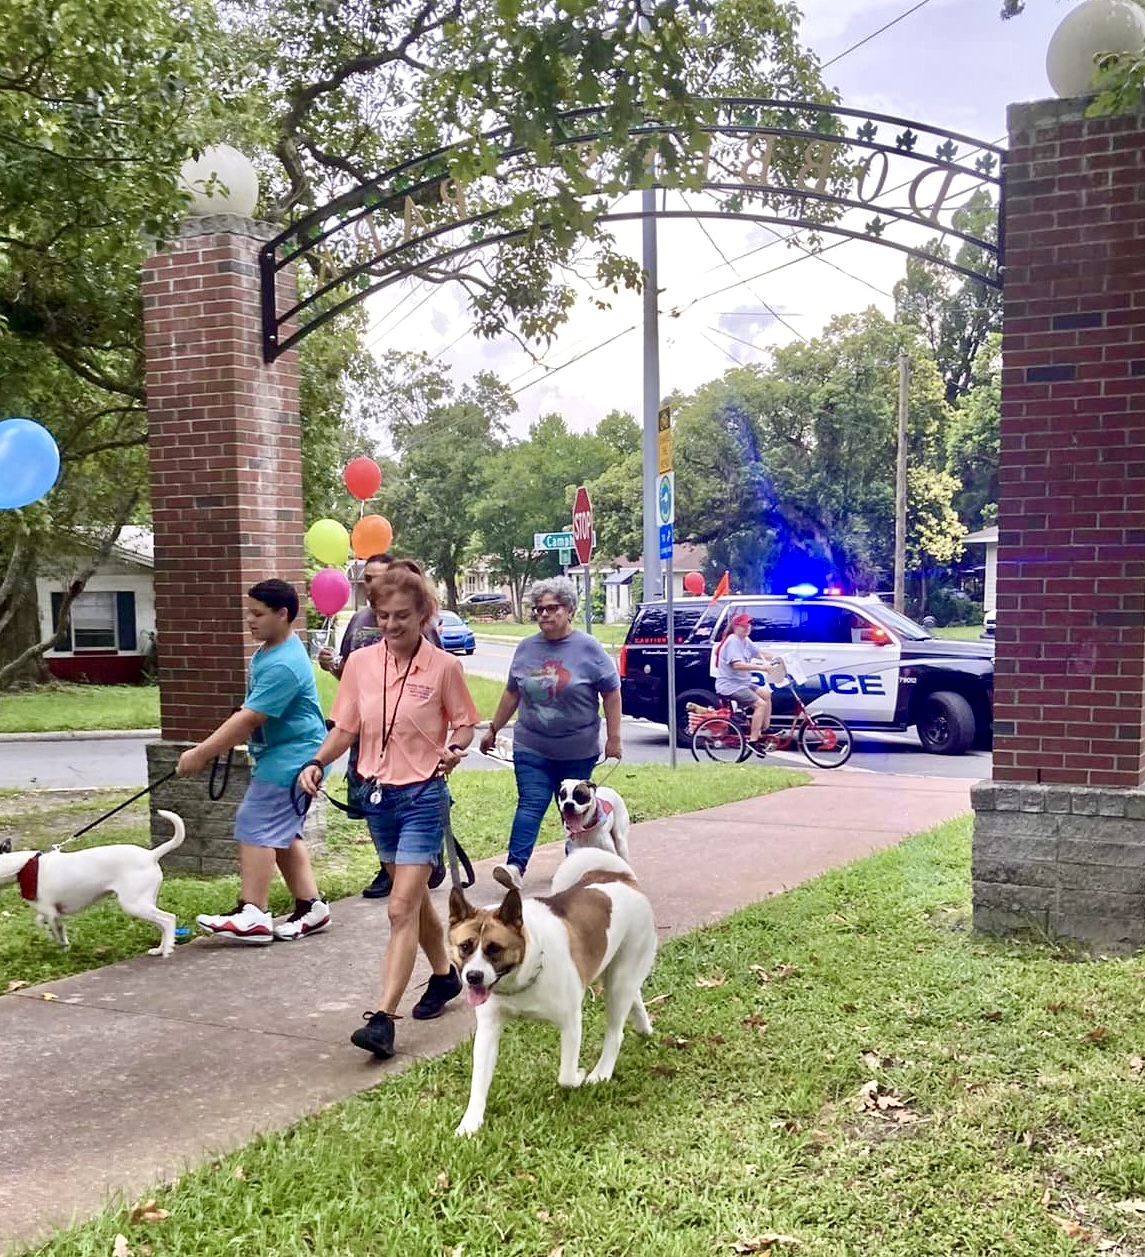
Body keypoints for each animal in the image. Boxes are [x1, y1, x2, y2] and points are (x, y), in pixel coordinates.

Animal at [0, 809, 186, 955]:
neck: (24, 866)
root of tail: (151, 855)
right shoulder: (54, 913)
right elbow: (46, 924)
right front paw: (63, 946)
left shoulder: (51, 913)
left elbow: (55, 932)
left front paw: (61, 947)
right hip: (145, 903)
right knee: (161, 924)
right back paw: (160, 949)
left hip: (134, 905)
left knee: (168, 919)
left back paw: (167, 950)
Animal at [452, 849, 658, 1136]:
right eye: (465, 947)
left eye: (494, 949)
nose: (473, 977)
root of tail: (621, 878)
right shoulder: (489, 1028)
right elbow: (479, 1079)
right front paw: (470, 1122)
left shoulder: (571, 1022)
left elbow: (566, 1077)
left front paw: (581, 1075)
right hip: (616, 970)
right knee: (633, 994)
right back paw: (643, 1026)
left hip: (622, 974)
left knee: (616, 1030)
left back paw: (602, 1072)